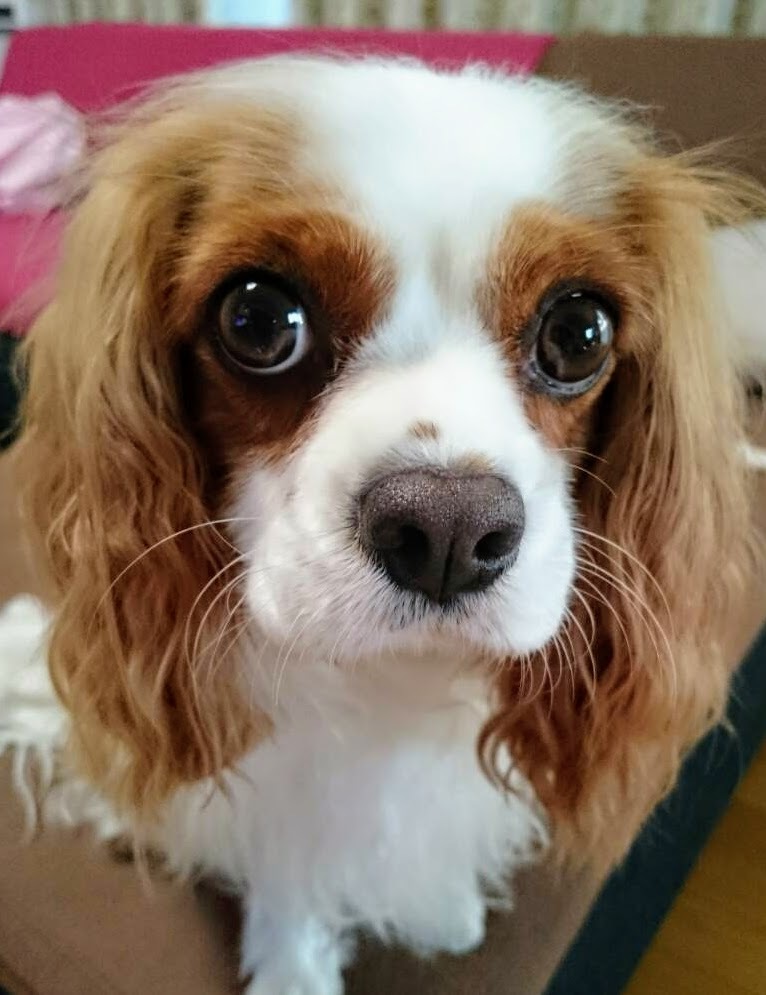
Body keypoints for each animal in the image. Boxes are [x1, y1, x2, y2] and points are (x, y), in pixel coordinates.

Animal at [1, 56, 765, 993]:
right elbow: (290, 872)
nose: (448, 529)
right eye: (257, 319)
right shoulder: (286, 795)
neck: (392, 675)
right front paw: (294, 969)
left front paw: (446, 913)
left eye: (579, 332)